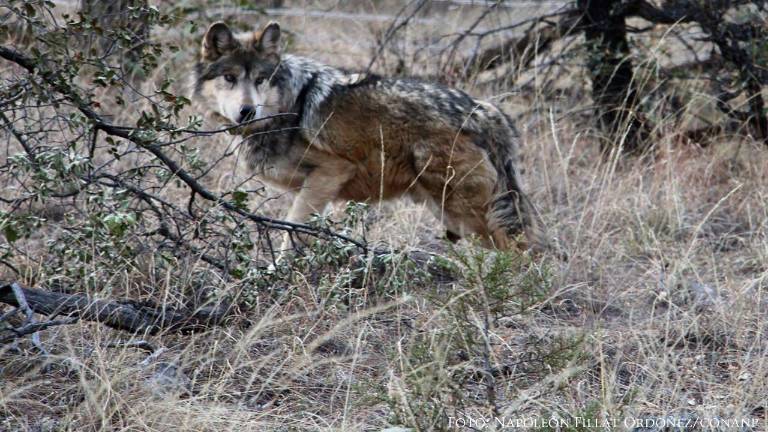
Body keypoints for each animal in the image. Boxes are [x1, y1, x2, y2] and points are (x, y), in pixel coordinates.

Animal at [193, 21, 548, 255]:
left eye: (260, 80)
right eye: (230, 78)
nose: (247, 111)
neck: (286, 109)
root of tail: (486, 112)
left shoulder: (330, 172)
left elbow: (292, 232)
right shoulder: (316, 188)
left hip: (464, 211)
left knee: (523, 249)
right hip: (453, 215)